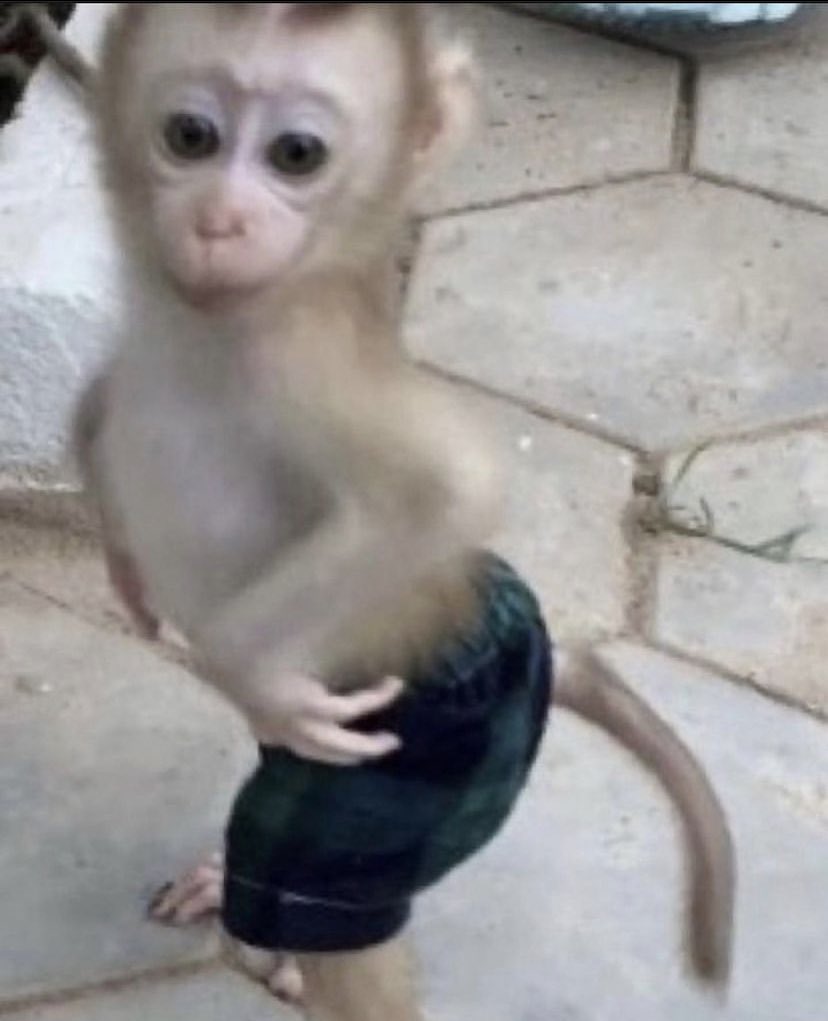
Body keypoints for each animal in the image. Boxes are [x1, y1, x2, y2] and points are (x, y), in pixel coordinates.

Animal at [70, 4, 734, 1016]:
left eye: (297, 154)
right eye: (190, 136)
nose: (221, 221)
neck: (203, 326)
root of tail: (525, 635)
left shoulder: (305, 361)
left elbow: (447, 488)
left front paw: (243, 665)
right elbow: (101, 403)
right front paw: (119, 538)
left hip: (434, 752)